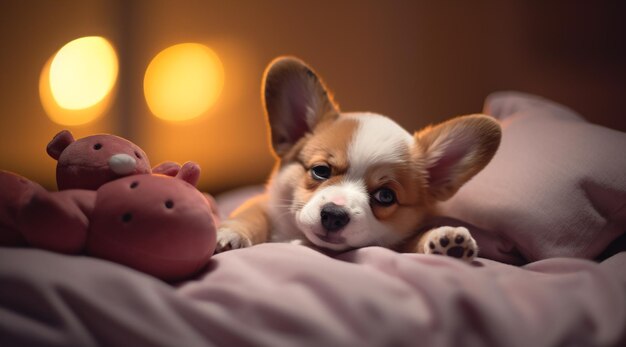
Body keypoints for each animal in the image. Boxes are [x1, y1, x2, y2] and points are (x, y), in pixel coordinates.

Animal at [217, 57, 500, 260]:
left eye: (385, 196)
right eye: (321, 170)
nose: (334, 215)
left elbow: (408, 244)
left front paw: (444, 240)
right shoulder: (261, 206)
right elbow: (251, 217)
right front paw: (229, 233)